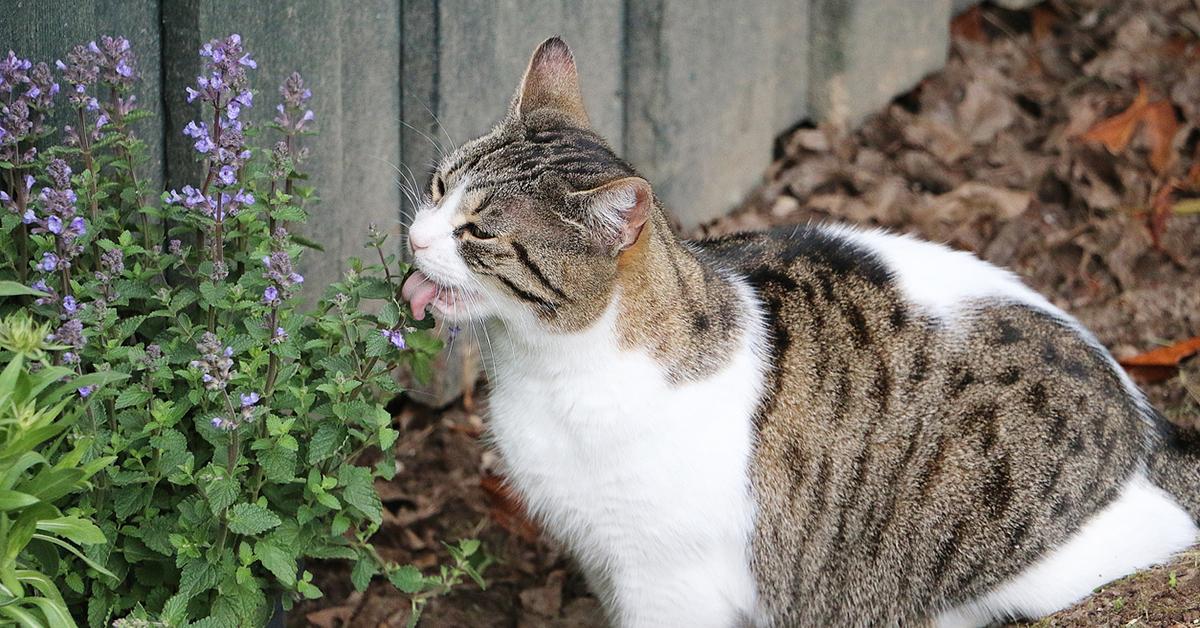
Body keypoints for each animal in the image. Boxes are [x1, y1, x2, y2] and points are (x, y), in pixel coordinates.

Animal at [403, 36, 1200, 624]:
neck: (545, 366)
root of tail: (1148, 427)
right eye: (438, 187)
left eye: (478, 233)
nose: (413, 239)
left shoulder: (667, 580)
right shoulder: (606, 559)